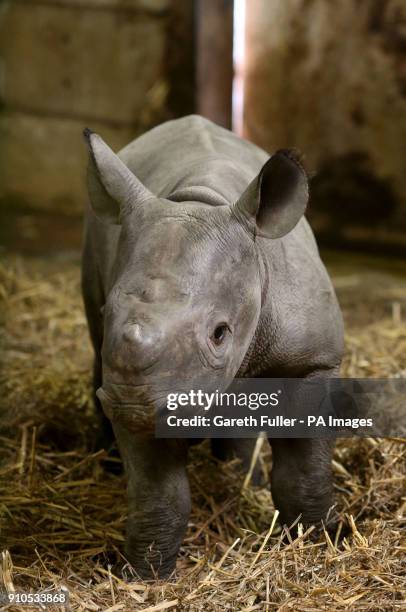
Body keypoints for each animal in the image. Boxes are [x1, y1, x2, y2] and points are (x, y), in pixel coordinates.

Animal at [82, 113, 342, 580]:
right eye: (109, 310)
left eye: (220, 333)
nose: (130, 405)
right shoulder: (150, 384)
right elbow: (159, 492)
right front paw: (146, 575)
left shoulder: (313, 360)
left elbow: (304, 469)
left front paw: (319, 542)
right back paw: (110, 464)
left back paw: (239, 476)